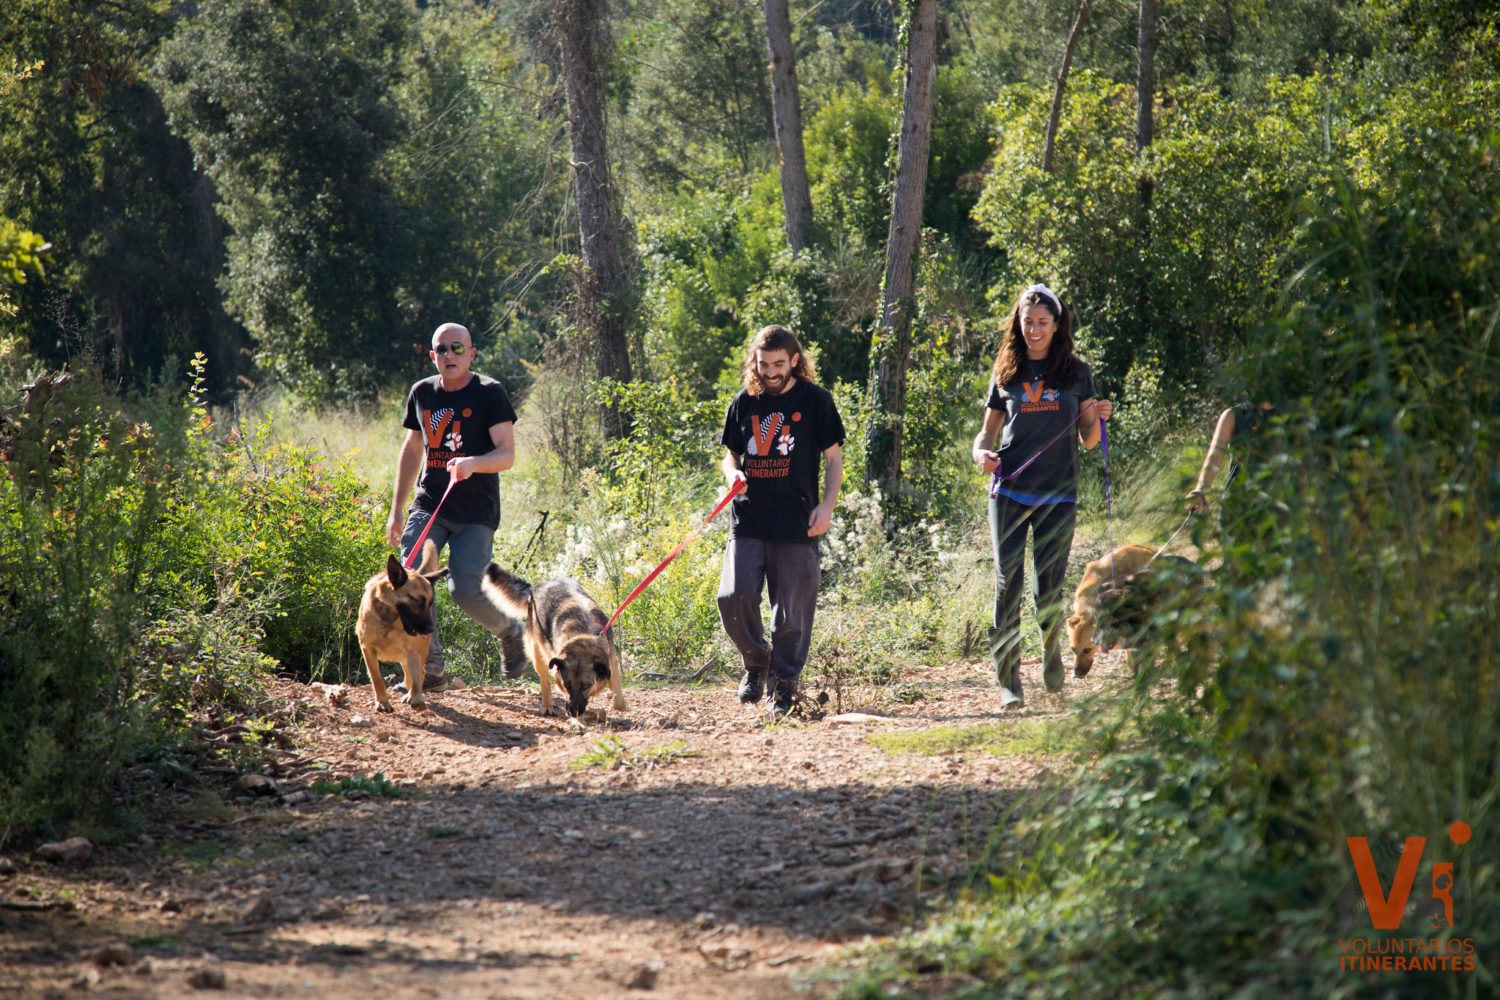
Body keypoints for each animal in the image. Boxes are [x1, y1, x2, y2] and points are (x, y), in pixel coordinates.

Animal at [355, 539, 444, 710]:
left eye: (430, 603)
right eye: (417, 601)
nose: (431, 629)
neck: (390, 619)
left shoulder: (414, 651)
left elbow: (416, 678)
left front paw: (415, 697)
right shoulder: (367, 649)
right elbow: (377, 679)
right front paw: (383, 702)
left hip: (414, 654)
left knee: (419, 674)